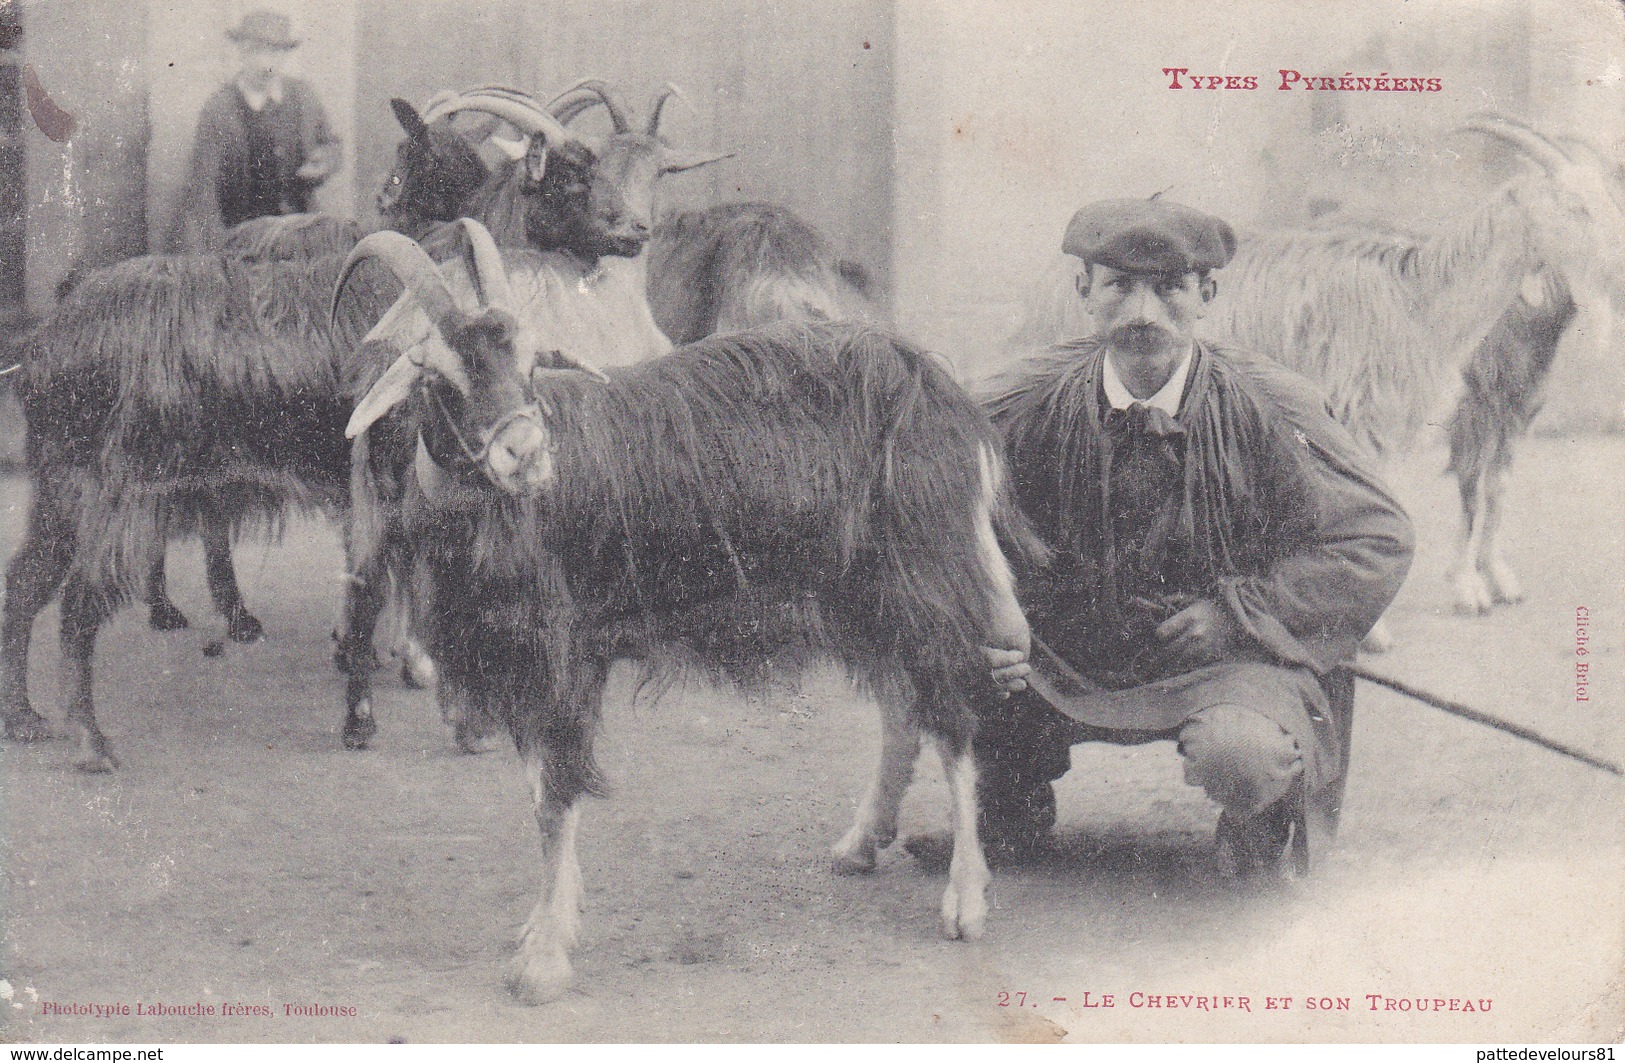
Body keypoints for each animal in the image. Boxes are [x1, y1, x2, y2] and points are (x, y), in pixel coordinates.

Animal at [346, 221, 1027, 1001]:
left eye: (526, 360)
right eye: (438, 377)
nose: (525, 452)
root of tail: (937, 387)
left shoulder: (564, 656)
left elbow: (555, 796)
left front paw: (543, 960)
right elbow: (539, 792)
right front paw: (542, 933)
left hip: (924, 577)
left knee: (954, 714)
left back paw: (964, 900)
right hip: (857, 595)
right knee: (901, 706)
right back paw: (860, 844)